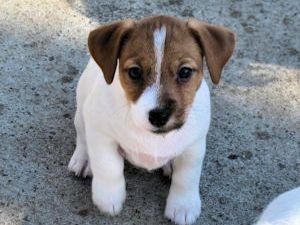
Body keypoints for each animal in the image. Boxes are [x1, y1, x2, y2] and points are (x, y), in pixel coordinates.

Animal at [68, 16, 234, 225]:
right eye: (134, 72)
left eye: (185, 72)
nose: (159, 115)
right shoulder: (100, 131)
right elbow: (108, 165)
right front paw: (109, 196)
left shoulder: (193, 146)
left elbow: (187, 176)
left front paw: (183, 205)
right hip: (82, 112)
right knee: (82, 138)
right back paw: (84, 160)